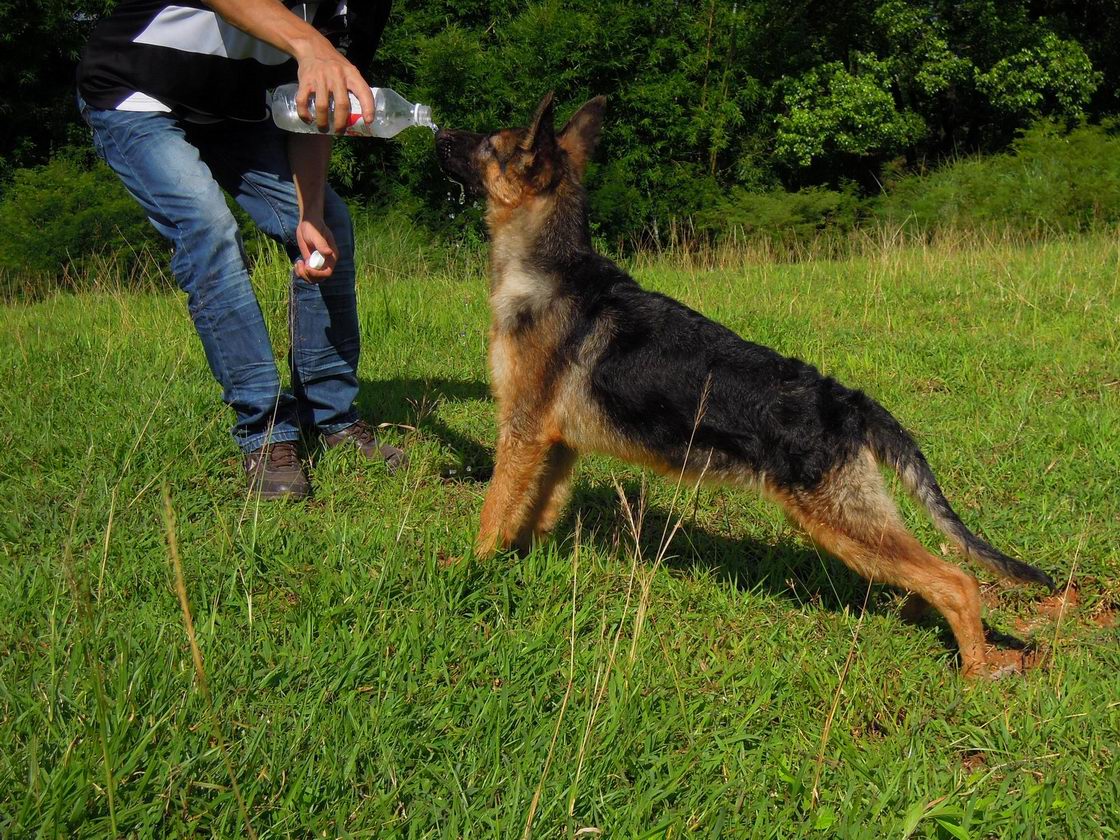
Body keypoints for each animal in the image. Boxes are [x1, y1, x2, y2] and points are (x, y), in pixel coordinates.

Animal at [432, 93, 1052, 676]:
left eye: (489, 144)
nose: (437, 133)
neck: (545, 270)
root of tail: (849, 401)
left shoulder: (521, 433)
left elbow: (493, 511)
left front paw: (470, 568)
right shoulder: (556, 446)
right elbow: (533, 514)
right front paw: (519, 564)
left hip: (843, 527)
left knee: (959, 581)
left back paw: (975, 669)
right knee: (930, 576)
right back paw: (916, 618)